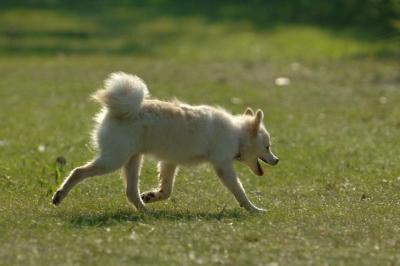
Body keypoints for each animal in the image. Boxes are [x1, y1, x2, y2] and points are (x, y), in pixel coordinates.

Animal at [52, 71, 278, 213]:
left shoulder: (169, 162)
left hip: (133, 160)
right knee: (78, 172)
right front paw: (254, 209)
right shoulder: (223, 166)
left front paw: (152, 196)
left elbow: (167, 190)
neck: (237, 134)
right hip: (114, 160)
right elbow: (239, 191)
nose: (277, 160)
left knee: (131, 193)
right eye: (267, 147)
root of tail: (116, 111)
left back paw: (146, 212)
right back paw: (59, 195)